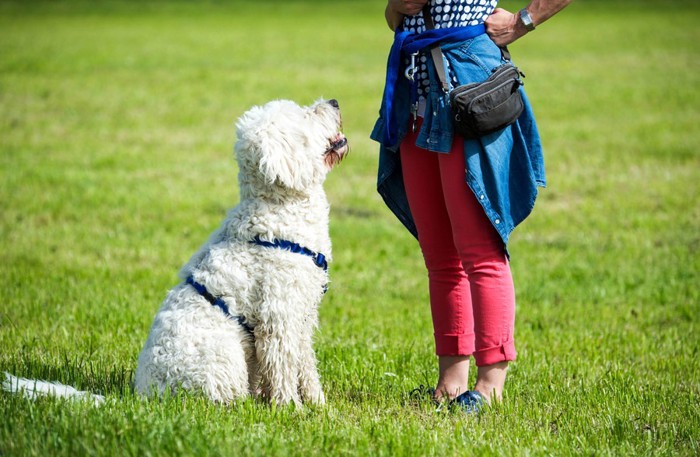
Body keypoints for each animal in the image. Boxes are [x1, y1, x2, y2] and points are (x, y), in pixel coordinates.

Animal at [2, 98, 348, 404]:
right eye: (305, 116)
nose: (334, 102)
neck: (277, 209)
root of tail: (141, 398)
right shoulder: (278, 317)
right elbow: (284, 369)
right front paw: (291, 408)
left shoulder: (301, 314)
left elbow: (306, 365)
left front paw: (319, 405)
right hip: (224, 356)